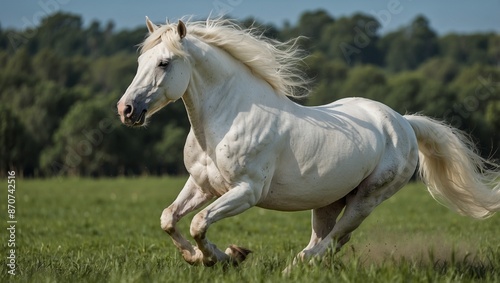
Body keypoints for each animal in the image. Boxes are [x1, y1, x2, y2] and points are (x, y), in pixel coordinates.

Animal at [118, 17, 500, 270]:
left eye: (164, 63)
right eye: (140, 62)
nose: (126, 110)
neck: (228, 118)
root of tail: (403, 122)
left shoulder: (247, 191)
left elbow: (198, 223)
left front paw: (227, 257)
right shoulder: (202, 184)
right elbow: (170, 219)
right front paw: (200, 257)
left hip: (369, 197)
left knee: (335, 238)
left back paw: (295, 266)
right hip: (329, 200)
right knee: (329, 238)